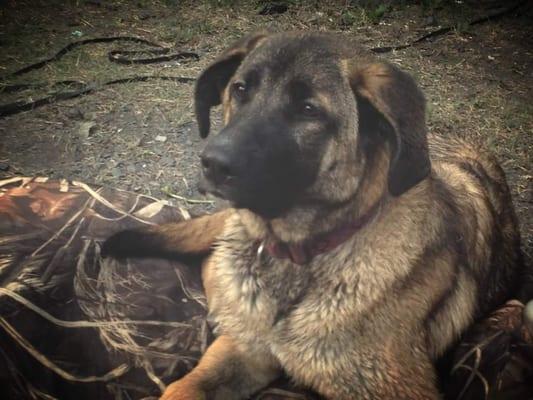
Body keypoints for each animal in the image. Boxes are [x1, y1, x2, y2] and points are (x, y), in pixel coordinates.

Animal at [102, 32, 524, 400]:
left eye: (308, 110)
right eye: (240, 89)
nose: (213, 163)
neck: (302, 256)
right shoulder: (245, 353)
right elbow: (183, 387)